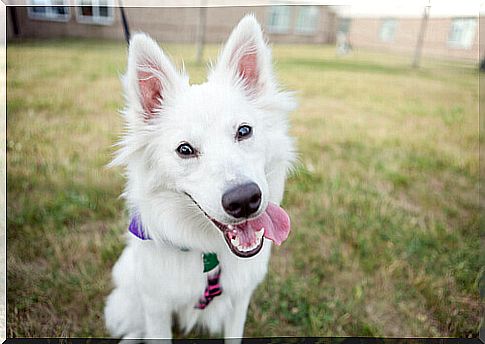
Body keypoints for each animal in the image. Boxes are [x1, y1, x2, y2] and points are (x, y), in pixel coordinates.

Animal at [103, 14, 294, 342]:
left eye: (244, 131)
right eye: (185, 150)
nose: (245, 200)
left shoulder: (240, 301)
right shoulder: (156, 308)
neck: (210, 256)